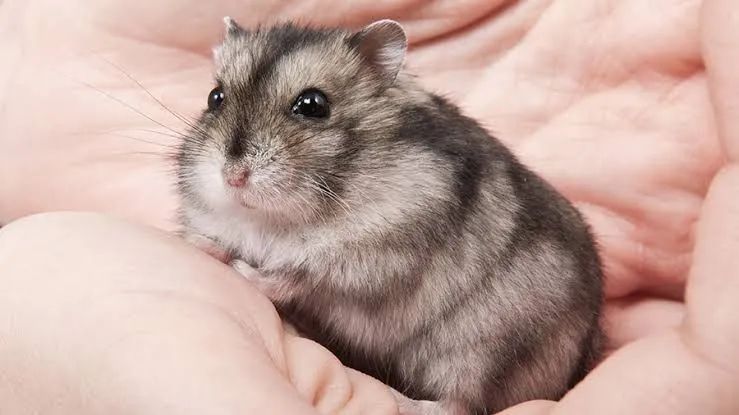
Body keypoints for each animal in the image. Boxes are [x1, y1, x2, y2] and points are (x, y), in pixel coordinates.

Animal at [176, 17, 603, 415]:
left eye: (313, 105)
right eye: (215, 97)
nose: (233, 177)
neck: (277, 219)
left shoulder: (376, 257)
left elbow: (296, 277)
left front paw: (242, 271)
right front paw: (199, 243)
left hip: (483, 350)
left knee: (458, 403)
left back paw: (403, 401)